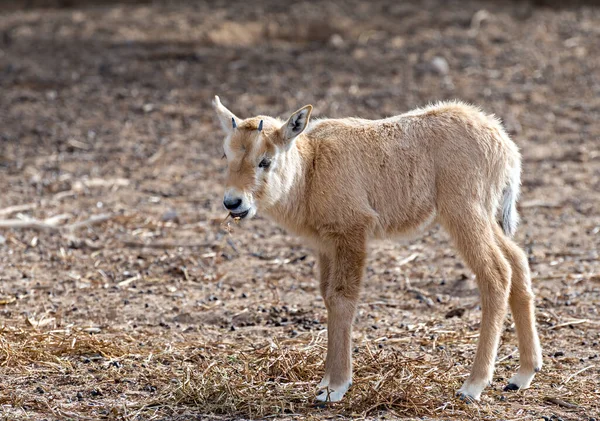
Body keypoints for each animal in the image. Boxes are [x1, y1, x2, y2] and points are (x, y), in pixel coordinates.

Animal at [212, 97, 544, 402]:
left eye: (265, 160)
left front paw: (335, 388)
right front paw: (325, 382)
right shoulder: (326, 245)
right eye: (226, 154)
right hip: (486, 216)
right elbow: (328, 297)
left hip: (464, 212)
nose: (233, 203)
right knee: (517, 261)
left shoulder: (353, 233)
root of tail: (504, 145)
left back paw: (473, 386)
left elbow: (342, 298)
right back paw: (522, 375)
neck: (311, 166)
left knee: (496, 273)